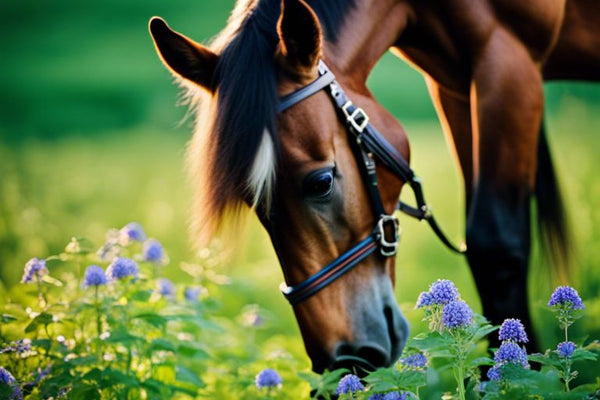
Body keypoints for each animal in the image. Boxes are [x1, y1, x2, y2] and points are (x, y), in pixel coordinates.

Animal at [150, 0, 600, 372]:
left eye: (320, 183)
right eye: (252, 201)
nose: (343, 358)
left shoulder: (507, 61)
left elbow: (497, 247)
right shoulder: (455, 82)